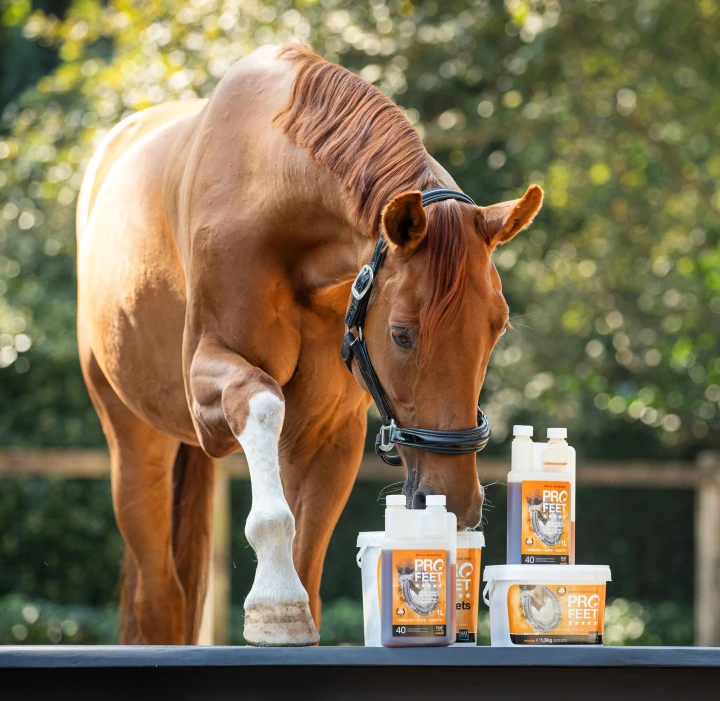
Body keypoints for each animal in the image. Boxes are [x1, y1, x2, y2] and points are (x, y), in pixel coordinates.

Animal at [75, 43, 543, 646]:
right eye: (401, 334)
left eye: (498, 327)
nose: (456, 501)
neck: (276, 194)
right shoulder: (209, 386)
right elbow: (260, 402)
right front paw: (275, 602)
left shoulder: (329, 430)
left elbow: (309, 555)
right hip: (136, 446)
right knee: (160, 598)